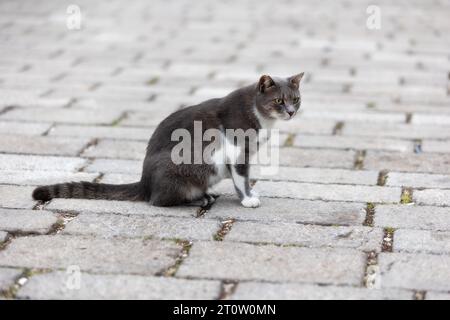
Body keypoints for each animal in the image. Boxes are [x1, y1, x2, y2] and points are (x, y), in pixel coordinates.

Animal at [33, 73, 304, 209]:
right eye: (279, 101)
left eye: (296, 99)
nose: (291, 112)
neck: (263, 119)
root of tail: (145, 183)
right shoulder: (237, 153)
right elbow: (241, 178)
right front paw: (248, 199)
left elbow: (246, 178)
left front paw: (250, 192)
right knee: (159, 201)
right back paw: (198, 199)